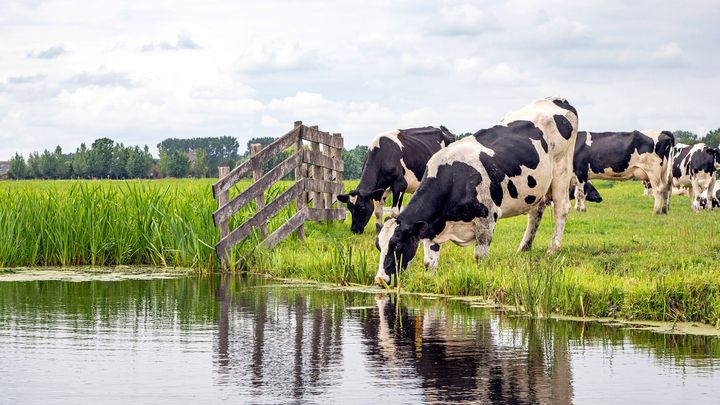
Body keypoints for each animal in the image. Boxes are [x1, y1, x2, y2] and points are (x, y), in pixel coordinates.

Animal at [374, 96, 576, 282]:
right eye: (378, 246)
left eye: (397, 245)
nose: (379, 280)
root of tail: (556, 99)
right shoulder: (431, 229)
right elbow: (428, 263)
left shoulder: (487, 219)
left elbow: (479, 258)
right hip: (538, 186)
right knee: (535, 213)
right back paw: (523, 248)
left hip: (562, 171)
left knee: (561, 209)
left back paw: (552, 249)